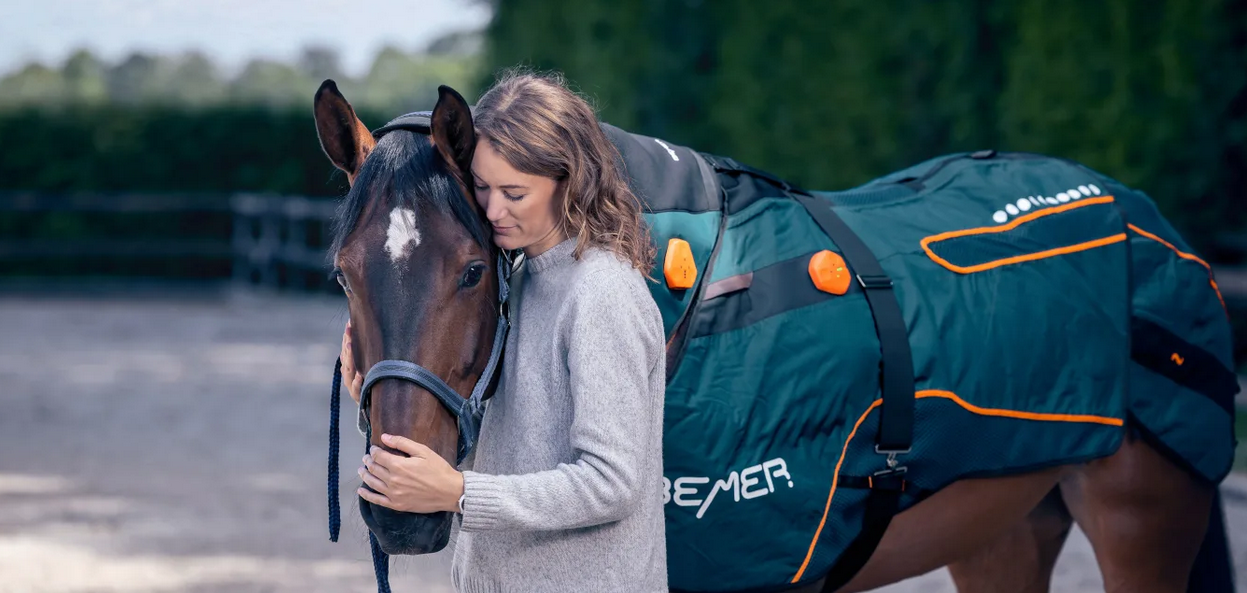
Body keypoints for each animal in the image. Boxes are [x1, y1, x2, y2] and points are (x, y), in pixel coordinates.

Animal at [313, 79, 1236, 592]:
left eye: (474, 267)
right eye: (343, 273)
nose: (397, 516)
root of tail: (1144, 217)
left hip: (1144, 520)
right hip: (1002, 524)